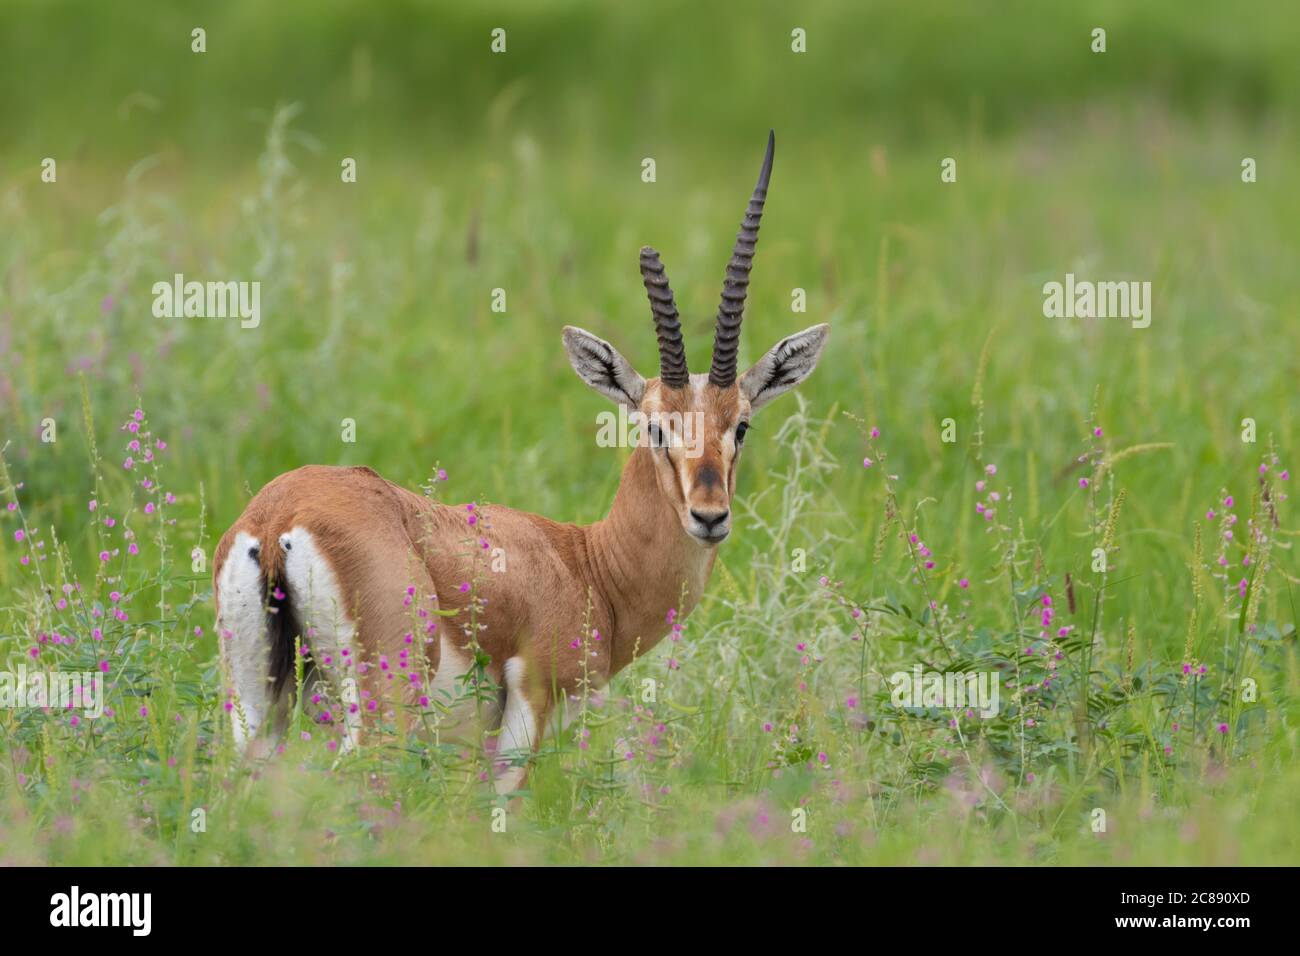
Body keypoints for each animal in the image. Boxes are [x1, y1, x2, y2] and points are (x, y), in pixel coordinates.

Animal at [213, 131, 829, 793]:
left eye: (740, 424)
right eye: (655, 427)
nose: (709, 515)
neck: (586, 565)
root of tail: (278, 517)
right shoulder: (526, 711)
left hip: (258, 706)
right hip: (382, 705)